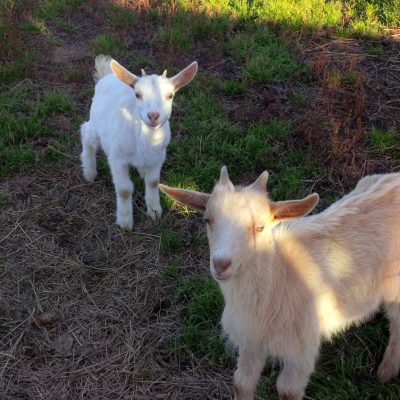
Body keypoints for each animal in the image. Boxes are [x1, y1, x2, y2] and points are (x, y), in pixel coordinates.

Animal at [80, 55, 198, 230]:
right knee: (86, 133)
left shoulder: (158, 157)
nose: (153, 115)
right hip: (95, 124)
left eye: (170, 95)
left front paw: (154, 211)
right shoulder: (117, 159)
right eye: (137, 94)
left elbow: (153, 182)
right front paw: (125, 222)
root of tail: (107, 76)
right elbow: (124, 190)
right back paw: (89, 172)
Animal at [159, 166, 400, 400]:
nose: (221, 264)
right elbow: (241, 384)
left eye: (260, 227)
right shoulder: (251, 342)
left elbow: (287, 391)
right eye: (207, 220)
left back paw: (386, 371)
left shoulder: (301, 352)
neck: (278, 284)